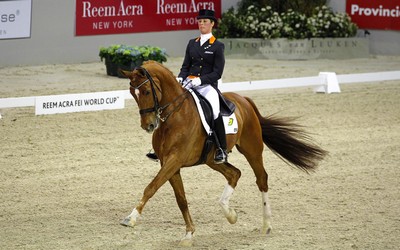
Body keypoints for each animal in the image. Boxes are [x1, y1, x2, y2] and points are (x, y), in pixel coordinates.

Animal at [120, 60, 326, 246]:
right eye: (132, 93)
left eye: (147, 92)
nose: (148, 125)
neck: (175, 116)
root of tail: (244, 100)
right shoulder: (169, 164)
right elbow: (181, 199)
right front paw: (189, 234)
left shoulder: (174, 160)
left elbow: (151, 187)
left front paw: (130, 218)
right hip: (212, 159)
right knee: (235, 173)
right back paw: (230, 214)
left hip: (252, 149)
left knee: (261, 179)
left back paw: (266, 224)